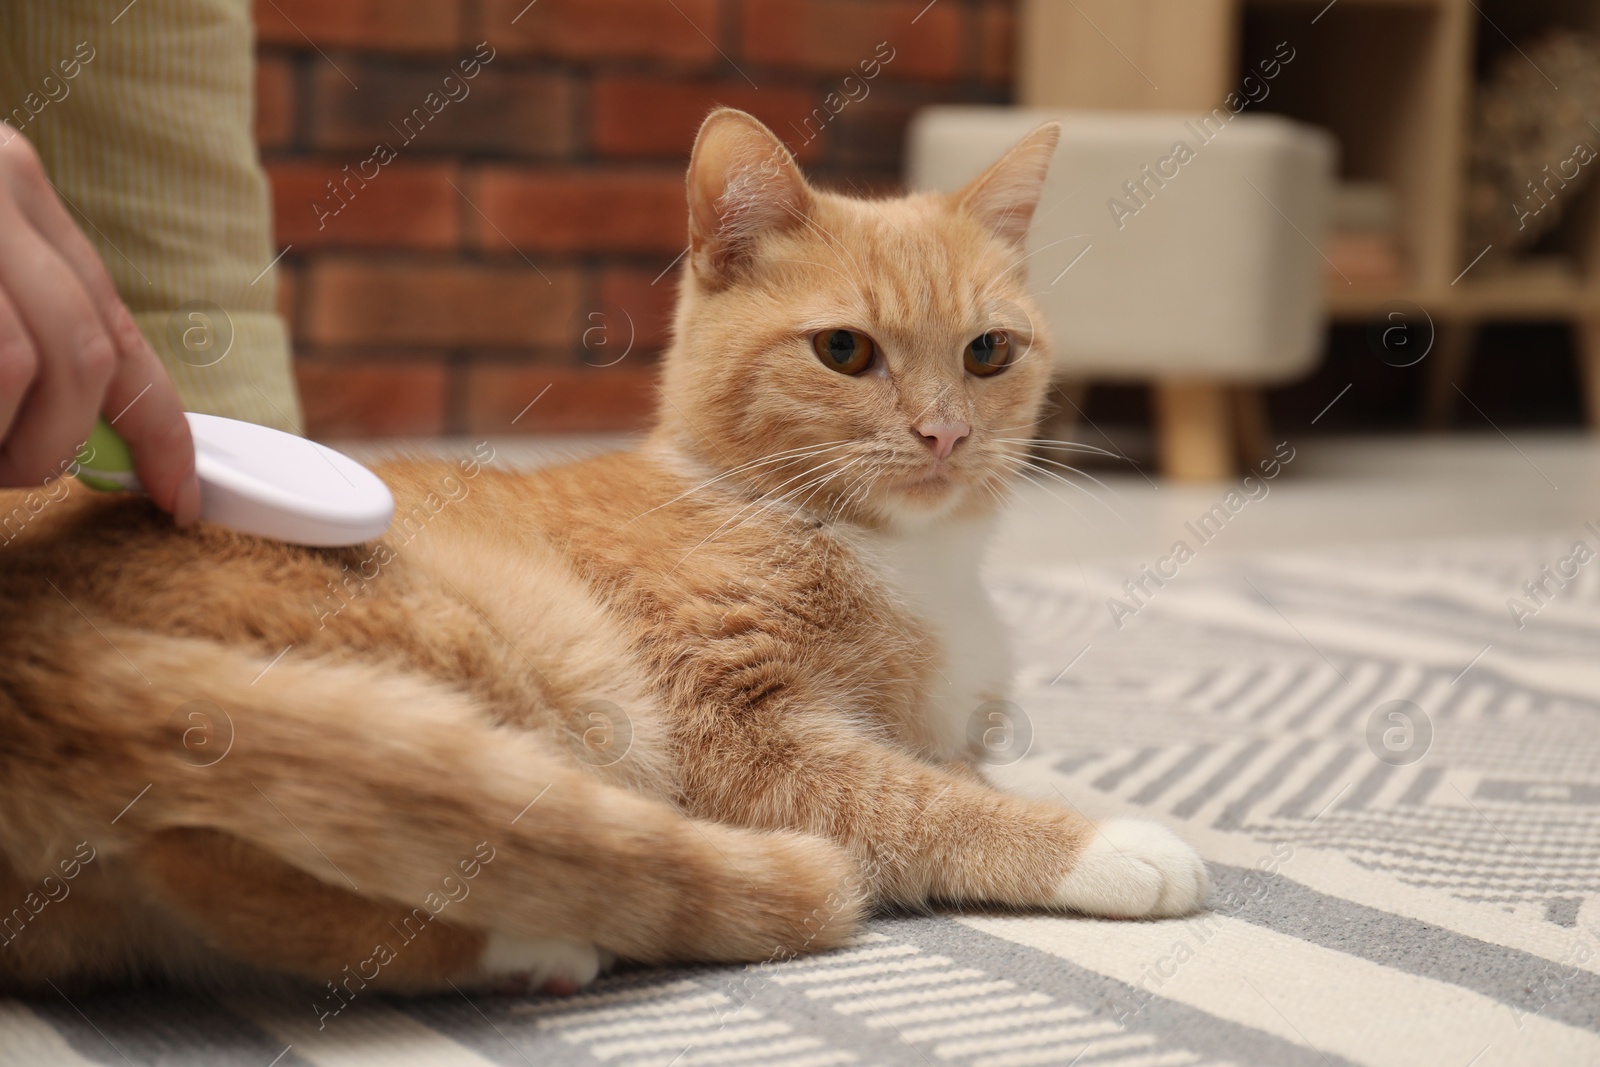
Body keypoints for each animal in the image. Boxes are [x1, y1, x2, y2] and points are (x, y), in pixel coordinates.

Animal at [0, 112, 1203, 1004]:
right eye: (843, 350)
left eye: (988, 352)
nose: (945, 434)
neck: (901, 558)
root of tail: (40, 655)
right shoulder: (744, 743)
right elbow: (925, 805)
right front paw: (1112, 841)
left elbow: (965, 770)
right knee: (253, 853)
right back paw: (539, 943)